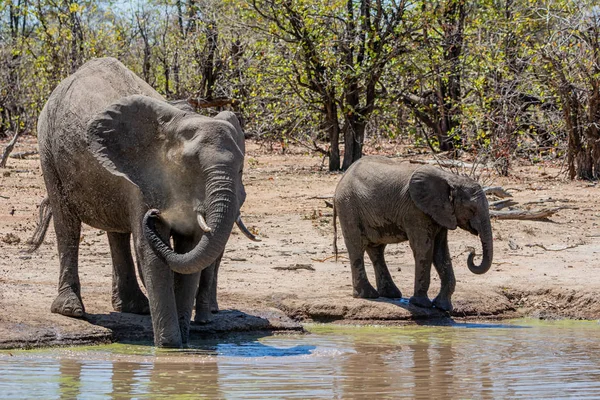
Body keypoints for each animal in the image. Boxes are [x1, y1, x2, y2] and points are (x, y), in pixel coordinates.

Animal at [32, 57, 255, 348]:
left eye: (240, 169)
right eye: (190, 164)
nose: (154, 214)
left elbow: (190, 247)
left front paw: (184, 344)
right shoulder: (145, 180)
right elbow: (150, 251)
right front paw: (170, 347)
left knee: (117, 230)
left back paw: (134, 307)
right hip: (48, 148)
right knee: (67, 225)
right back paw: (71, 310)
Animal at [332, 156, 492, 312]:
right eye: (471, 209)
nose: (472, 252)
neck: (451, 178)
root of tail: (343, 177)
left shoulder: (441, 214)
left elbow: (441, 253)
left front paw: (443, 307)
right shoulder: (415, 211)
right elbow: (424, 249)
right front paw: (421, 304)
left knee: (377, 249)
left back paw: (390, 294)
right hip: (348, 206)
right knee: (357, 246)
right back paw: (367, 295)